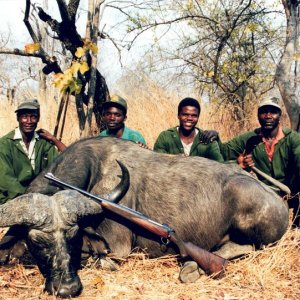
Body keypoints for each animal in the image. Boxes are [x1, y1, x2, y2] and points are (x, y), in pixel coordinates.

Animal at [0, 137, 288, 296]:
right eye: (38, 241)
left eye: (74, 235)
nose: (67, 288)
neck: (94, 169)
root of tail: (279, 202)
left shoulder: (118, 247)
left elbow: (99, 257)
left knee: (246, 248)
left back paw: (192, 267)